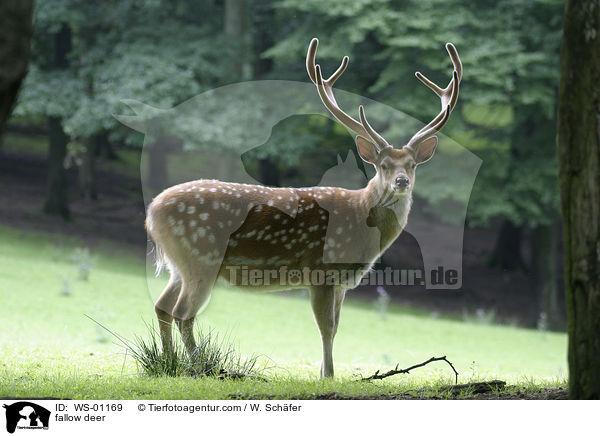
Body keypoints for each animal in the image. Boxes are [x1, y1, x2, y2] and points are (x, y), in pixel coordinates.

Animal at [146, 37, 464, 378]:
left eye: (412, 165)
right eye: (383, 165)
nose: (402, 181)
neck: (360, 220)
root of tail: (151, 212)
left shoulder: (342, 282)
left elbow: (335, 327)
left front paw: (325, 372)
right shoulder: (320, 269)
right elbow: (325, 327)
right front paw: (328, 376)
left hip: (179, 264)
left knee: (162, 306)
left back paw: (169, 363)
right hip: (201, 257)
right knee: (183, 312)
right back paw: (198, 366)